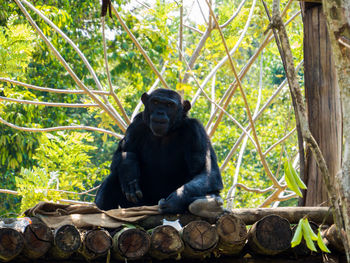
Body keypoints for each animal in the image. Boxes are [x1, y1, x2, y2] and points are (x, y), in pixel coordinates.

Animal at [94, 88, 223, 214]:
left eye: (169, 105)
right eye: (155, 102)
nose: (160, 112)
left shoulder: (195, 131)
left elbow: (207, 172)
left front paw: (176, 200)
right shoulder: (136, 125)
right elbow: (121, 153)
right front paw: (128, 168)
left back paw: (206, 205)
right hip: (138, 205)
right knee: (113, 176)